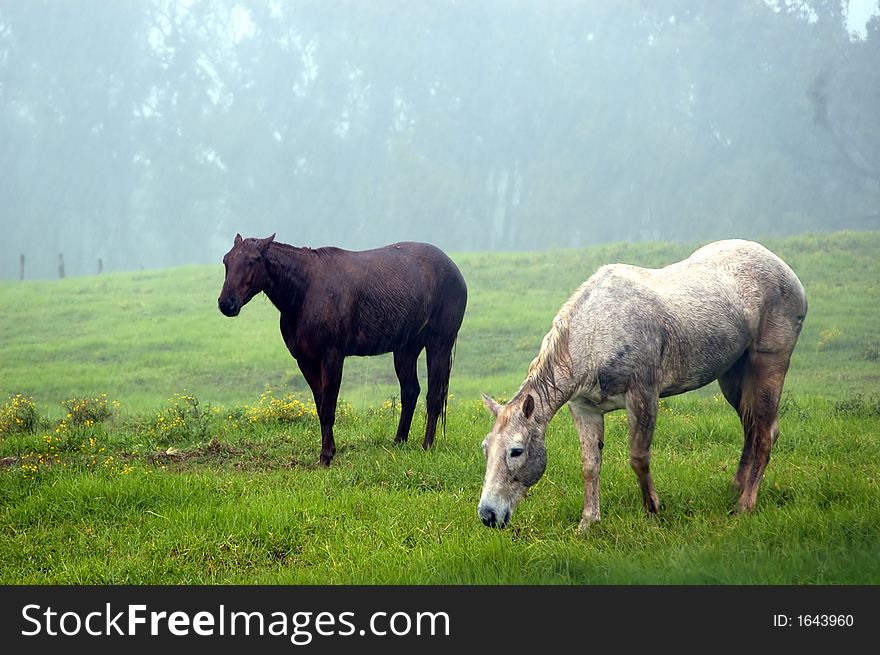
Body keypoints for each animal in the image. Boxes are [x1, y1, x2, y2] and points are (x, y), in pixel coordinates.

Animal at [217, 236, 468, 466]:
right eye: (226, 260)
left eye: (253, 260)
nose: (226, 304)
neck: (306, 290)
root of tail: (454, 270)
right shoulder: (306, 361)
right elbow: (320, 407)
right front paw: (328, 452)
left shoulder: (332, 357)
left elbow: (328, 407)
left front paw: (326, 456)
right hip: (405, 350)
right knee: (410, 392)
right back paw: (399, 441)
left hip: (438, 344)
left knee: (434, 396)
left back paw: (427, 445)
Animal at [478, 241, 808, 532]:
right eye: (485, 448)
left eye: (516, 451)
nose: (488, 515)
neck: (596, 333)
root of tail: (787, 271)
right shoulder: (584, 407)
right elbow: (590, 465)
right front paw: (588, 523)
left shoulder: (643, 394)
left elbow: (639, 458)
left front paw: (653, 510)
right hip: (732, 376)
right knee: (752, 429)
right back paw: (735, 487)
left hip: (768, 365)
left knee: (764, 434)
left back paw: (745, 504)